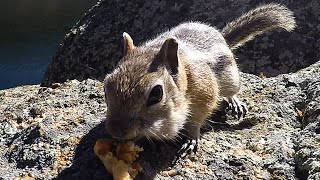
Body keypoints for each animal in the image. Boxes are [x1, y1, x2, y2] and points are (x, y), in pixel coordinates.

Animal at [102, 3, 296, 156]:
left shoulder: (205, 95)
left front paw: (191, 139)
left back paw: (235, 102)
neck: (186, 78)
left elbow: (197, 121)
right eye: (106, 86)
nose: (117, 131)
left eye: (156, 94)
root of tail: (222, 37)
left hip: (232, 79)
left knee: (232, 92)